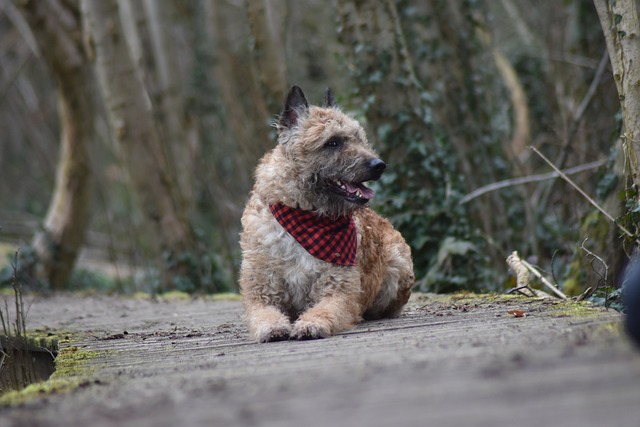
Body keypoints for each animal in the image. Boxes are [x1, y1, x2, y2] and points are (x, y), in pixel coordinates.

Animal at [240, 85, 416, 342]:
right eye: (332, 143)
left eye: (359, 138)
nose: (379, 165)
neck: (306, 214)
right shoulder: (260, 292)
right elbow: (264, 314)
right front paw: (272, 327)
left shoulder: (339, 290)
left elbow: (325, 309)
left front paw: (311, 323)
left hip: (397, 265)